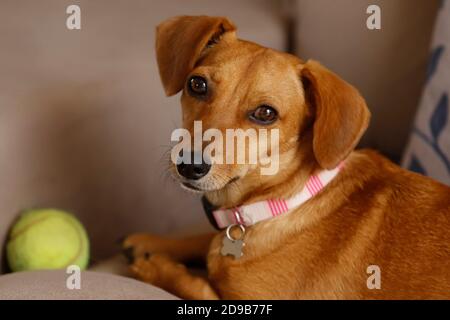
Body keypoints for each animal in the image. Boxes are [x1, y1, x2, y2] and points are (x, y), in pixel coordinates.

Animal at [122, 15, 450, 300]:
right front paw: (152, 242)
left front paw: (156, 267)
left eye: (266, 113)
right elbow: (202, 240)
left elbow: (198, 286)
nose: (189, 165)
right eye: (197, 84)